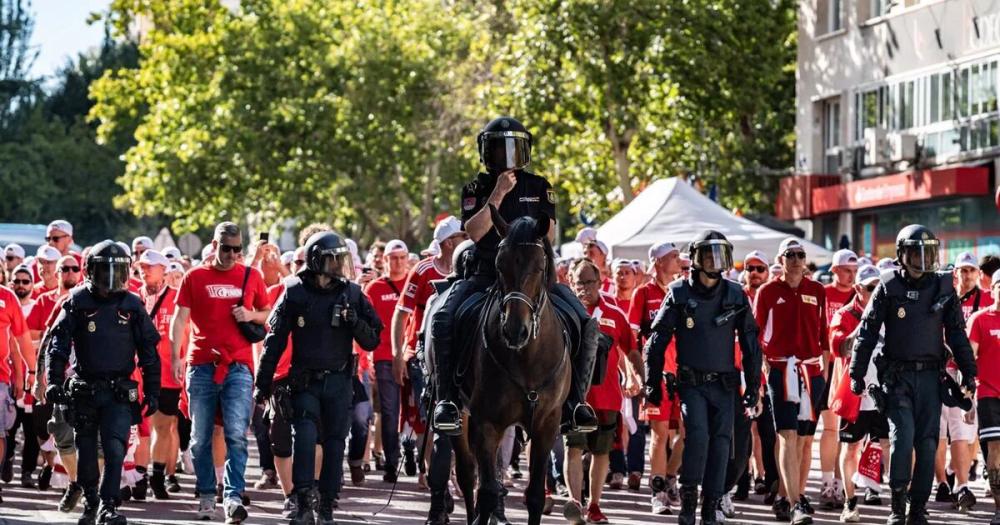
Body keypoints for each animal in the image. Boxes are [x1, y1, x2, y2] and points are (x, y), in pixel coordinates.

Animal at [452, 206, 572, 524]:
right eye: (499, 265)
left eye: (539, 267)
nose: (515, 330)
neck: (526, 358)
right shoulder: (486, 423)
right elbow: (486, 491)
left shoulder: (546, 424)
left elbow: (535, 495)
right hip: (460, 415)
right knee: (468, 475)